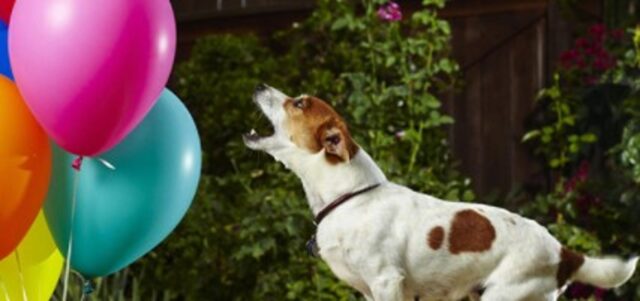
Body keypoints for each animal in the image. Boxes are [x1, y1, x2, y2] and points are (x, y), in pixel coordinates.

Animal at [242, 84, 636, 300]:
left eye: (299, 103)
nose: (259, 86)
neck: (350, 197)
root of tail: (563, 251)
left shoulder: (387, 282)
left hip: (503, 296)